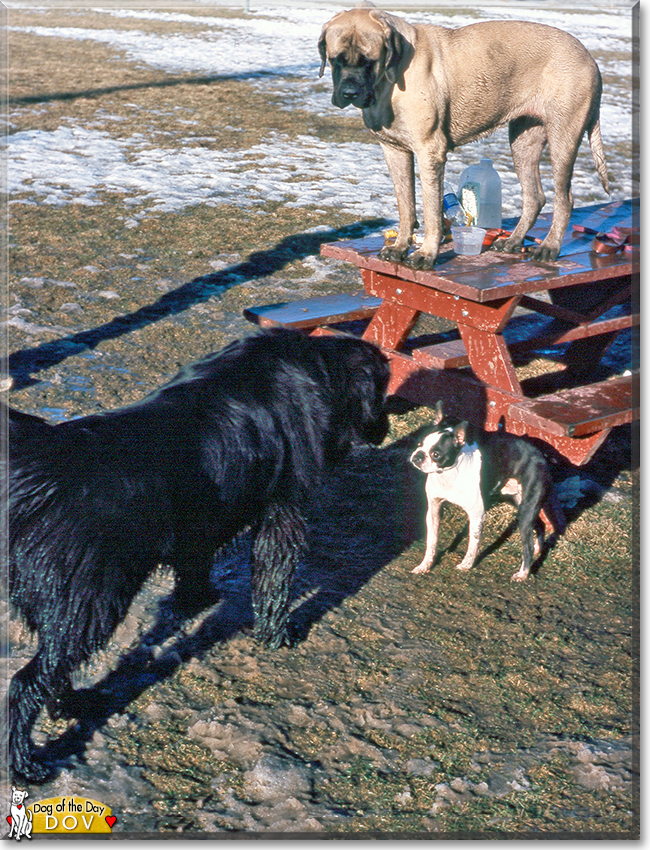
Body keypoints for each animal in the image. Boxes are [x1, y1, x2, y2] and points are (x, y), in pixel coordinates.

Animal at [3, 328, 384, 780]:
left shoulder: (201, 514)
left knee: (52, 666)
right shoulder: (284, 511)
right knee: (26, 682)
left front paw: (197, 599)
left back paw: (72, 704)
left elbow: (195, 563)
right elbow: (274, 579)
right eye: (384, 391)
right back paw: (26, 762)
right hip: (90, 603)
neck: (318, 367)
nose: (386, 429)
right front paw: (277, 635)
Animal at [318, 5, 608, 264]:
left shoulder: (429, 152)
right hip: (523, 142)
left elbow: (431, 209)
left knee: (564, 198)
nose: (349, 93)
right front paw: (400, 246)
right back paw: (514, 240)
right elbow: (405, 204)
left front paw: (427, 253)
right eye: (335, 60)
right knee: (535, 196)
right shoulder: (394, 151)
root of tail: (589, 57)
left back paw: (549, 246)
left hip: (563, 139)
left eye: (369, 62)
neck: (391, 80)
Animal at [410, 404, 560, 584]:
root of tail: (543, 457)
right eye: (419, 443)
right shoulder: (433, 510)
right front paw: (425, 565)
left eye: (436, 454)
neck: (449, 474)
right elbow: (432, 541)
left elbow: (473, 543)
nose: (418, 456)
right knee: (540, 524)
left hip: (526, 510)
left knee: (527, 545)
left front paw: (466, 565)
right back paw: (538, 549)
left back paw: (523, 573)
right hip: (519, 502)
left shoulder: (477, 515)